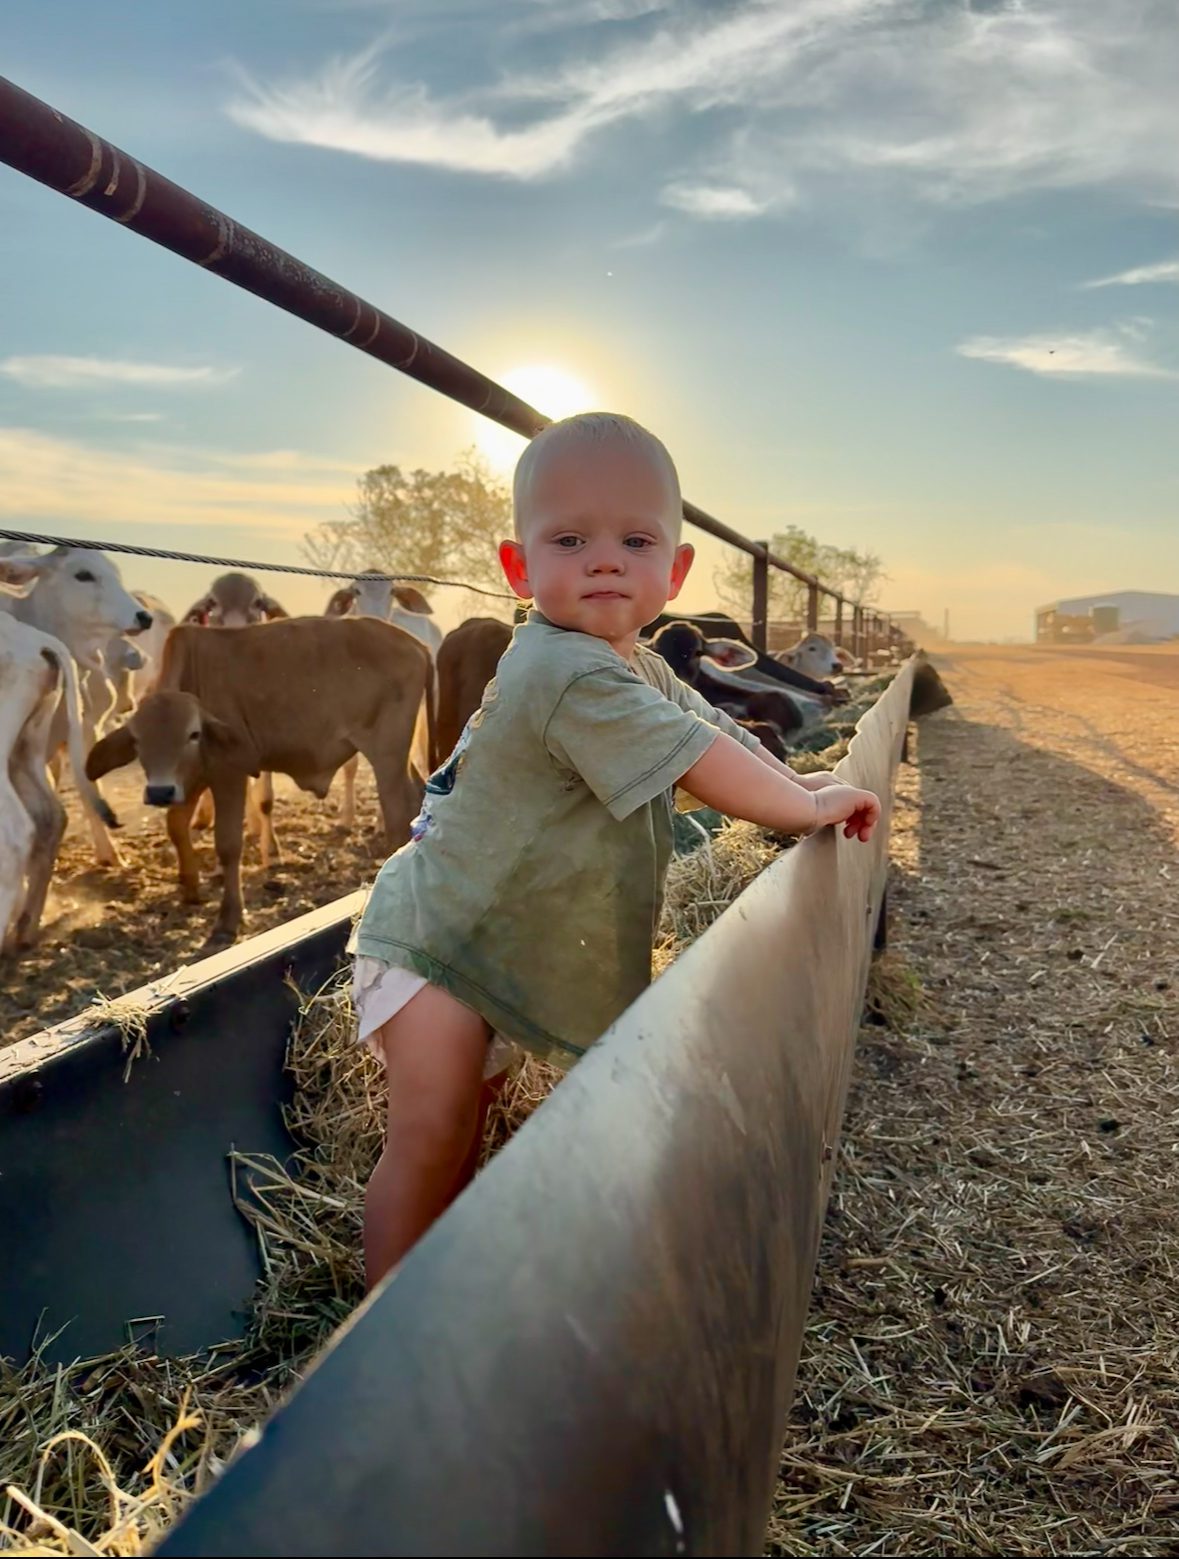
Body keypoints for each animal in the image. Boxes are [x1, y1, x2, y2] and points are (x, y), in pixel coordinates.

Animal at [86, 617, 433, 947]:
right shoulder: (193, 779)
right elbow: (176, 826)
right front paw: (190, 886)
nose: (159, 791)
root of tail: (416, 644)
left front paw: (227, 921)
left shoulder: (228, 775)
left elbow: (228, 846)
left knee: (397, 815)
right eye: (137, 740)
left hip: (386, 756)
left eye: (193, 734)